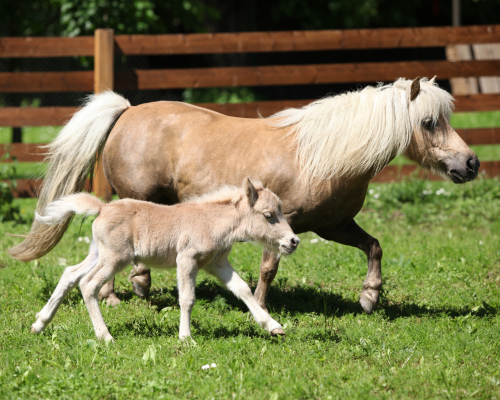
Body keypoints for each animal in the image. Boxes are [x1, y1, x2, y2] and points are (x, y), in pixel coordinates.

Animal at [31, 180, 298, 340]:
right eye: (268, 215)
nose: (293, 241)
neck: (212, 221)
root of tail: (102, 208)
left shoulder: (217, 263)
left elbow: (243, 289)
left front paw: (273, 326)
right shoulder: (187, 259)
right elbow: (187, 298)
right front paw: (186, 337)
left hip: (99, 253)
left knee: (70, 274)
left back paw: (40, 323)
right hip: (116, 258)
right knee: (88, 284)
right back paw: (105, 336)